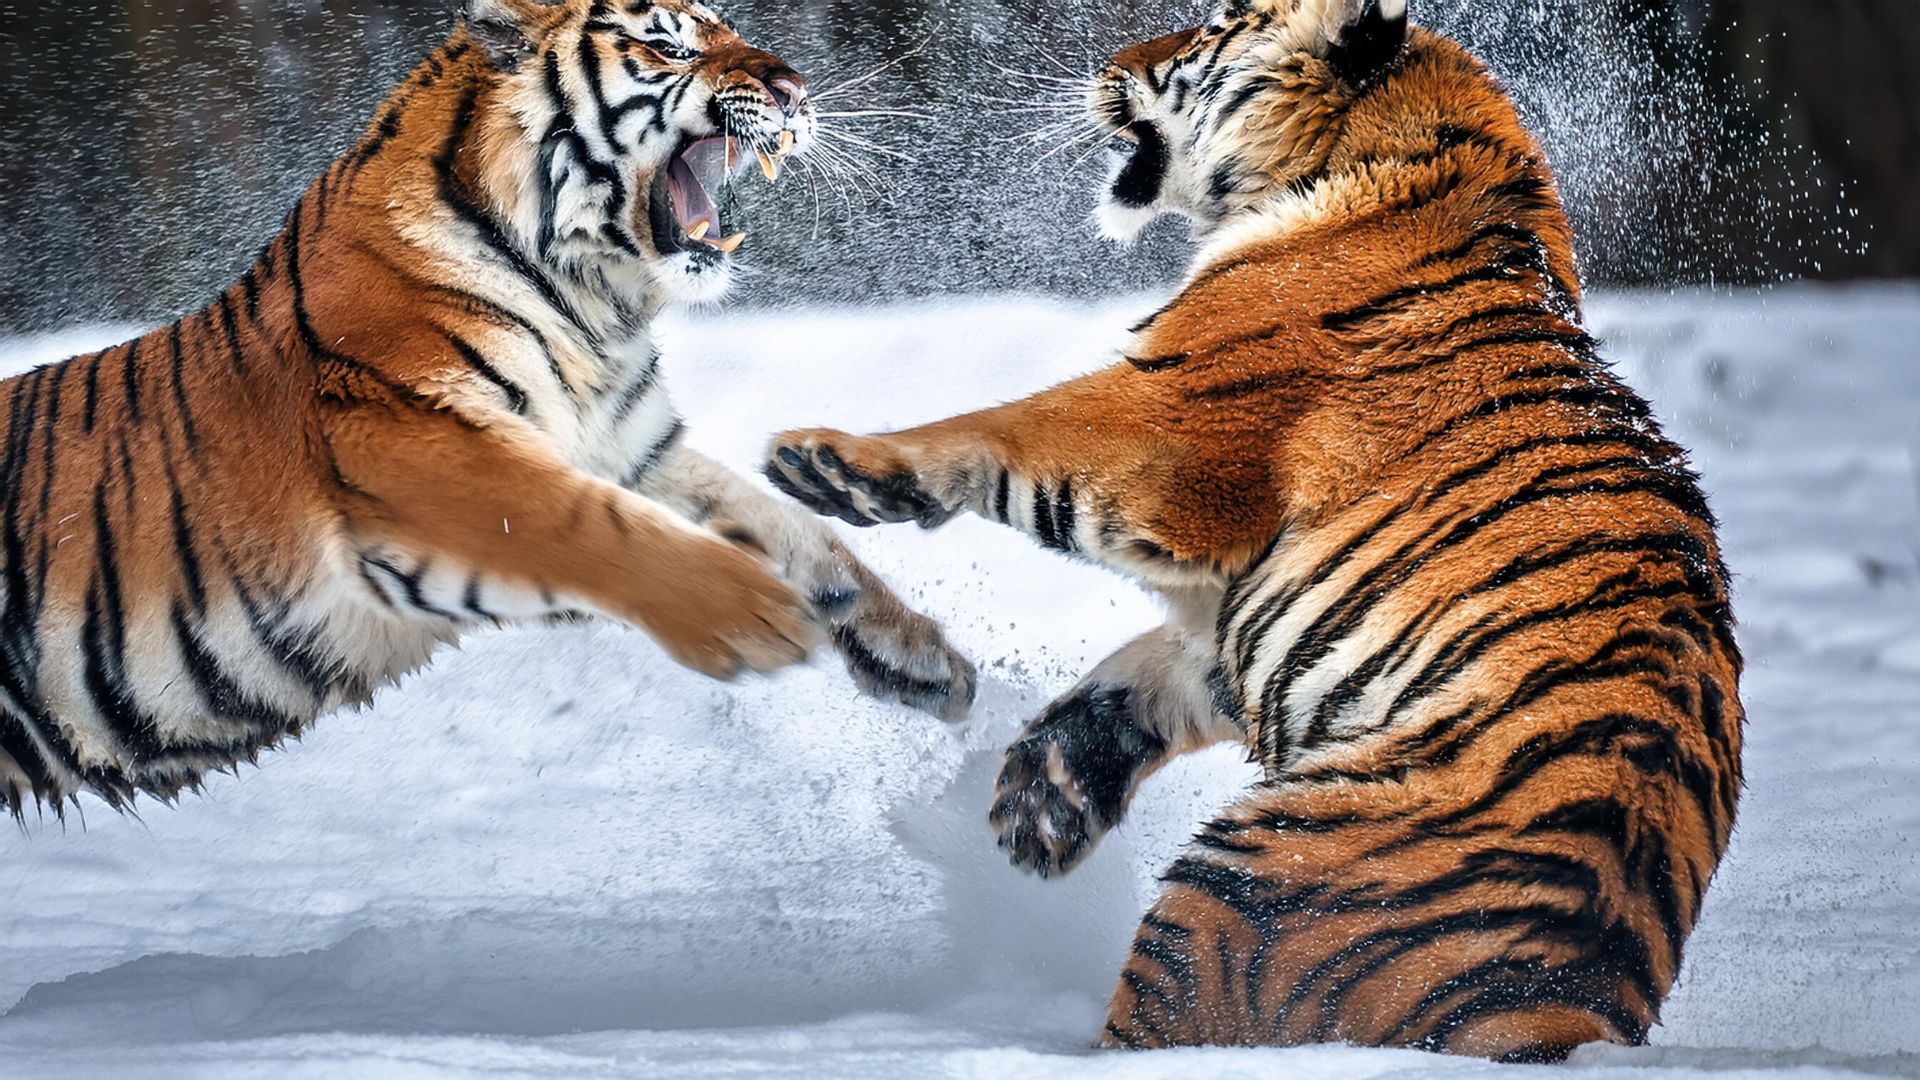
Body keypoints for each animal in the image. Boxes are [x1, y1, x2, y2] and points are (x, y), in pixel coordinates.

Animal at [0, 0, 977, 821]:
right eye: (669, 47)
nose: (796, 91)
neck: (595, 308)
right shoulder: (415, 438)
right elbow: (599, 530)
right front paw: (755, 614)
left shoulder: (631, 450)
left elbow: (793, 530)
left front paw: (922, 656)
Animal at [764, 0, 1743, 1061]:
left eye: (1212, 27)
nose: (1113, 59)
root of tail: (1565, 1009)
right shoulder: (1248, 611)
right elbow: (1146, 672)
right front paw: (1044, 793)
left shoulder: (1167, 432)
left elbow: (1001, 426)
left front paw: (832, 460)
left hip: (1254, 879)